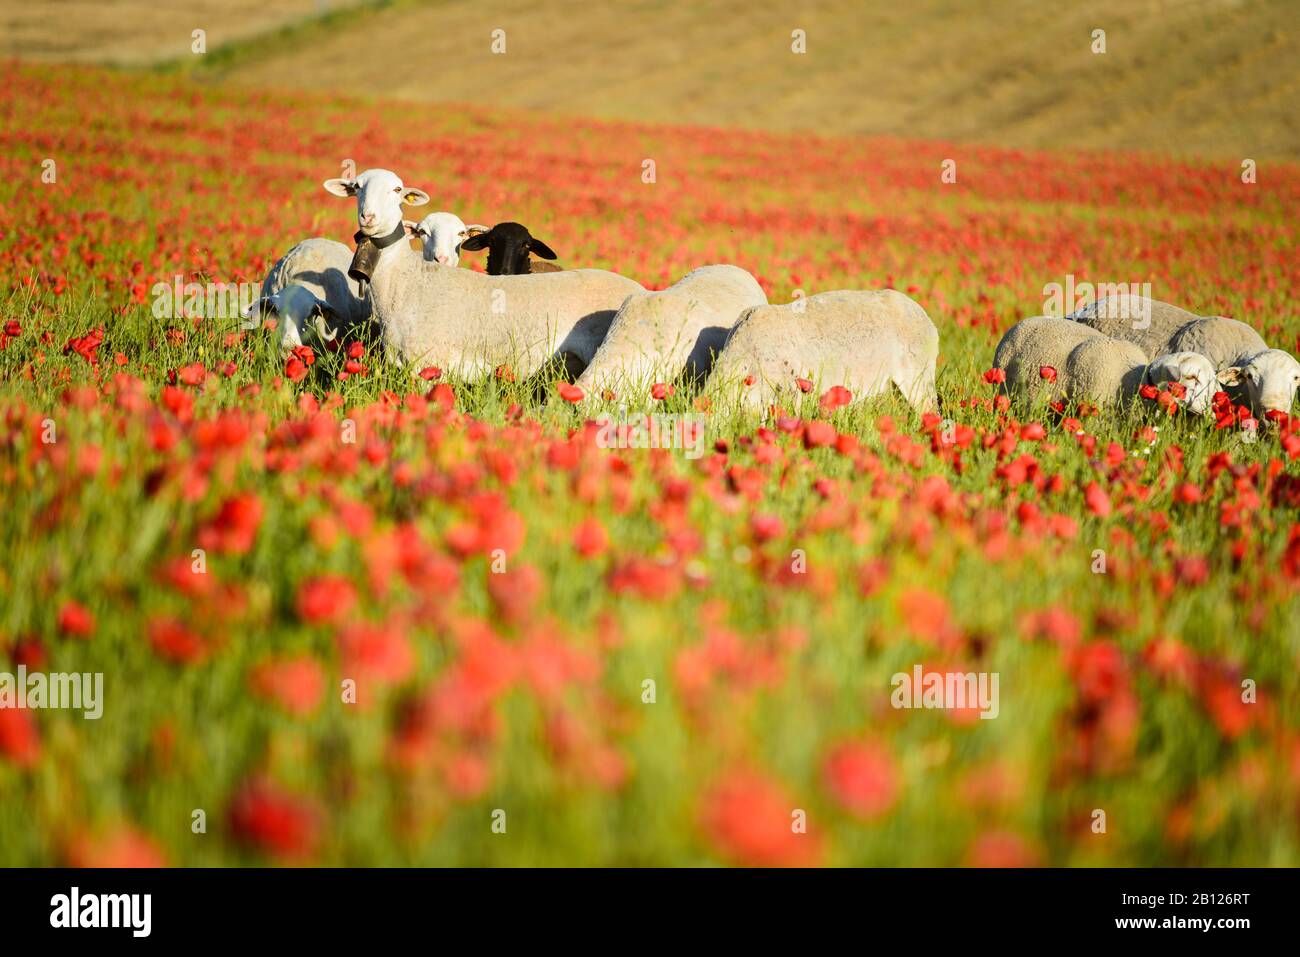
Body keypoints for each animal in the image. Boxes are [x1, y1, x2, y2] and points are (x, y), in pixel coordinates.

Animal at [321, 167, 644, 377]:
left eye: (397, 190)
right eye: (356, 187)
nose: (369, 217)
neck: (406, 279)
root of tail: (641, 289)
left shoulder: (429, 363)